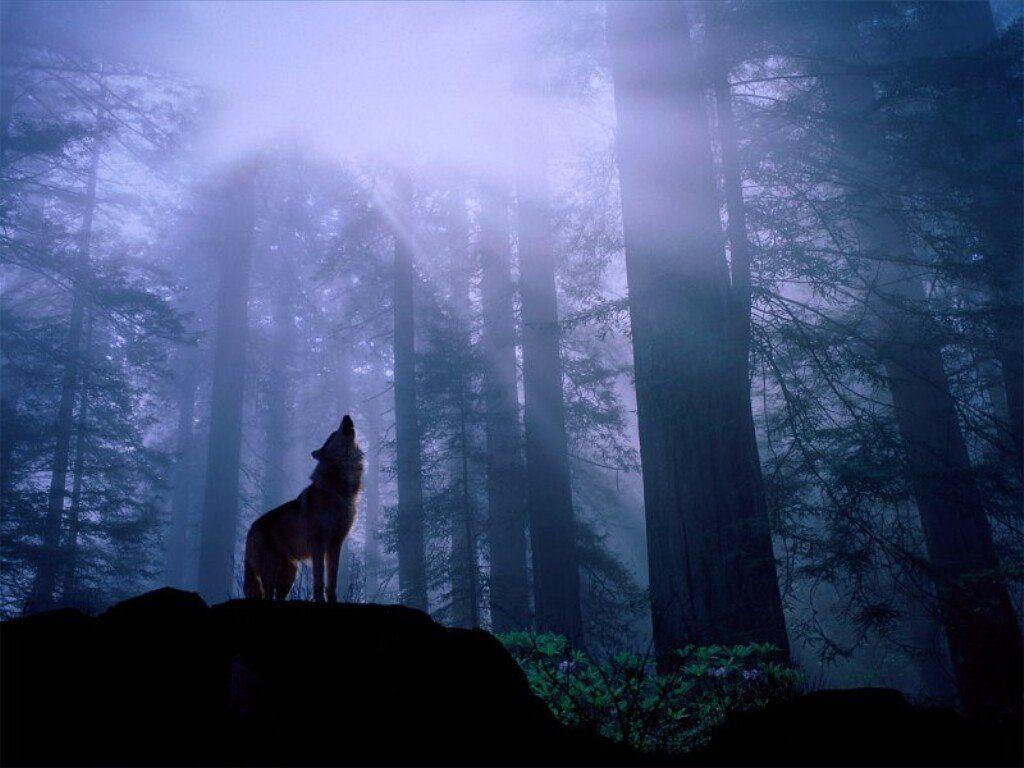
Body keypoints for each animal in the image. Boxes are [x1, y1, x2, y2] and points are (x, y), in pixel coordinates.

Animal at [243, 414, 364, 602]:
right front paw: (320, 600)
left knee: (278, 597)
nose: (346, 415)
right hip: (270, 573)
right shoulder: (319, 545)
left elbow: (332, 581)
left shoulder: (336, 544)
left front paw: (333, 601)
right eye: (333, 433)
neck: (340, 489)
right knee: (268, 595)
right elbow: (319, 580)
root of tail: (251, 528)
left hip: (289, 575)